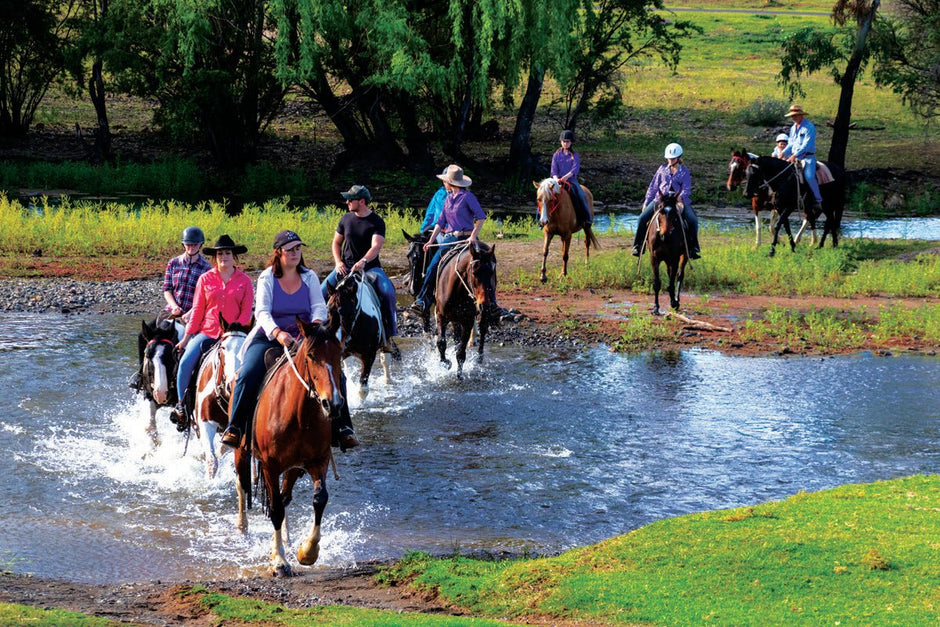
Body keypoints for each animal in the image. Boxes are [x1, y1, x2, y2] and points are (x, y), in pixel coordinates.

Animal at [233, 316, 346, 576]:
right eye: (311, 355)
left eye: (339, 353)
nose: (333, 404)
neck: (298, 414)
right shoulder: (269, 466)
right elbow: (274, 508)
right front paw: (279, 561)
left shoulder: (318, 460)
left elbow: (319, 499)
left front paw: (307, 552)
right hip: (240, 450)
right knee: (242, 484)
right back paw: (243, 527)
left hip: (293, 468)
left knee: (285, 498)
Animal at [328, 272, 392, 402]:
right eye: (329, 310)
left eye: (349, 313)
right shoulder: (342, 353)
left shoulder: (369, 356)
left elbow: (362, 389)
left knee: (385, 359)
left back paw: (387, 381)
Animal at [434, 239, 500, 378]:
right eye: (474, 273)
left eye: (491, 273)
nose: (485, 304)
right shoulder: (441, 315)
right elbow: (441, 342)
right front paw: (446, 363)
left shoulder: (467, 321)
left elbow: (461, 354)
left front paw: (459, 375)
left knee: (483, 329)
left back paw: (480, 357)